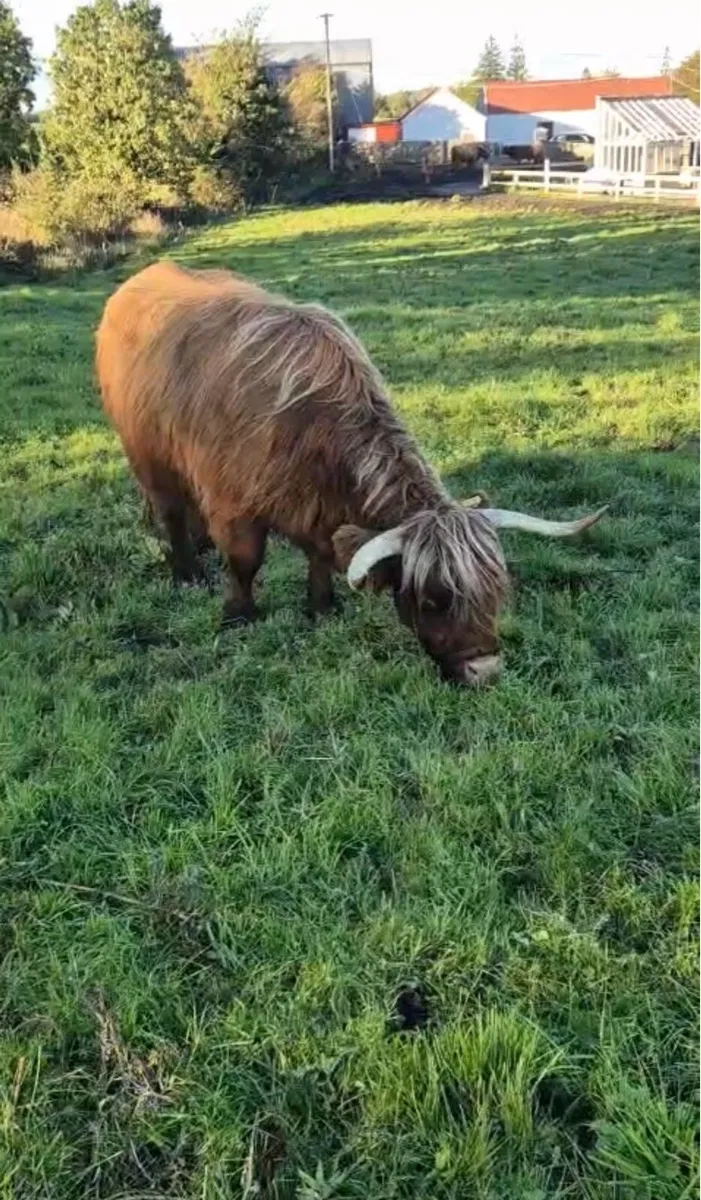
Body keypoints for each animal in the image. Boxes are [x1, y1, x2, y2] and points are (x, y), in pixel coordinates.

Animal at [96, 262, 606, 686]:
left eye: (497, 593)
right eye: (432, 600)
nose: (485, 672)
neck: (312, 431)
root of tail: (139, 278)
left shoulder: (319, 509)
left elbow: (321, 557)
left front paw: (322, 608)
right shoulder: (234, 505)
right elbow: (245, 562)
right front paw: (238, 616)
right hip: (146, 452)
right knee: (170, 511)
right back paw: (187, 572)